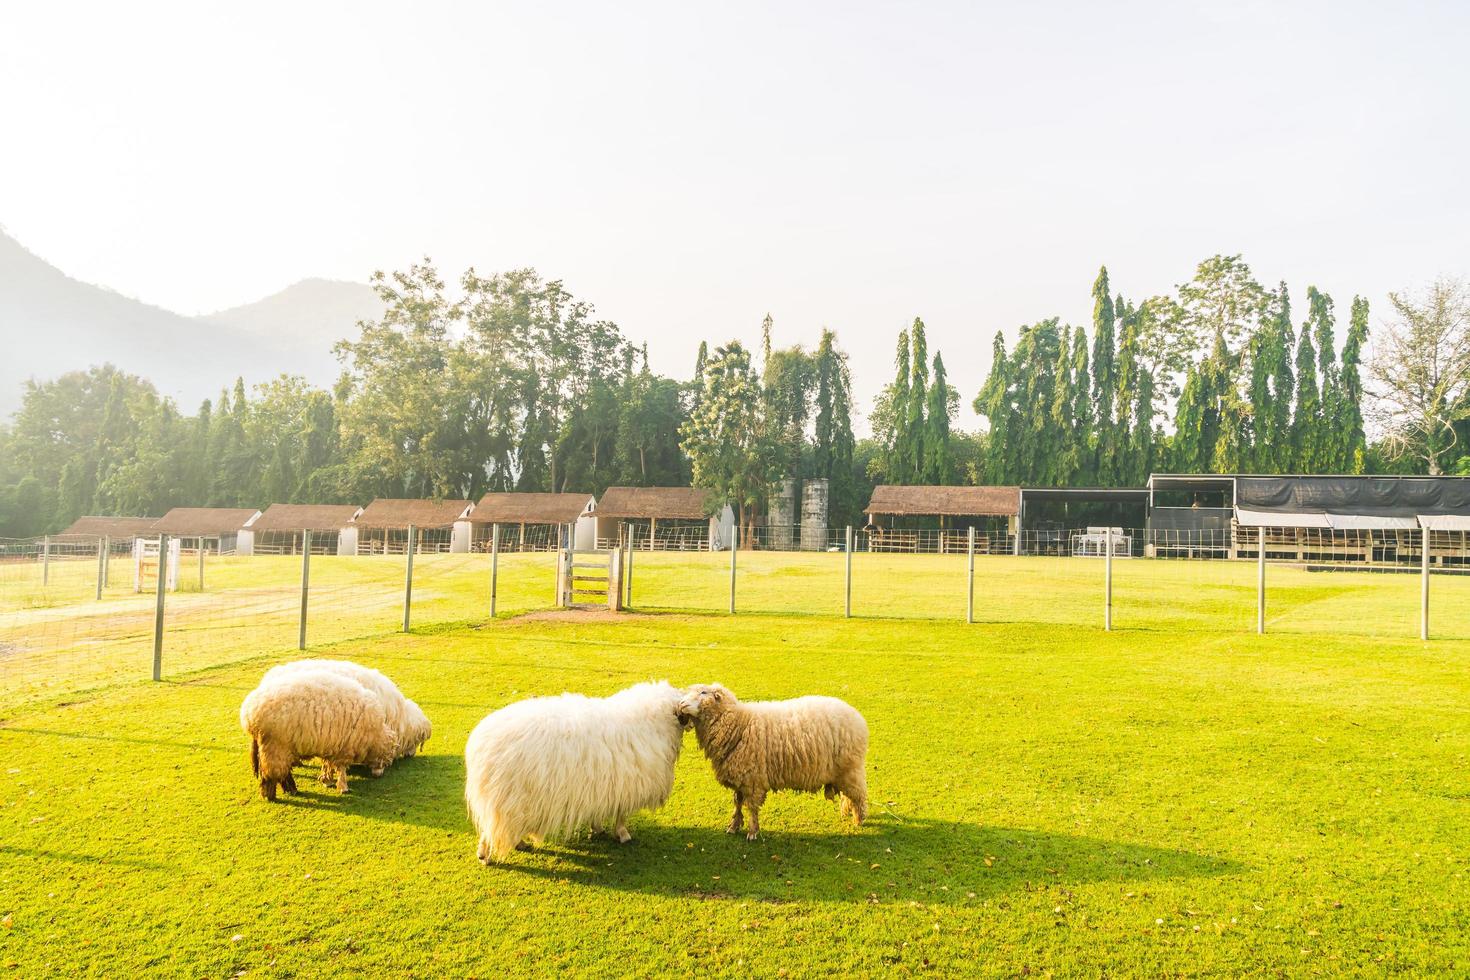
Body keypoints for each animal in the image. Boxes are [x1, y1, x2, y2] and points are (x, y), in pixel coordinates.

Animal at [242, 667, 399, 805]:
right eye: (385, 759)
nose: (379, 775)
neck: (374, 734)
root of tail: (249, 716)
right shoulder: (344, 749)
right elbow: (341, 769)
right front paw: (343, 787)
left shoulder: (332, 746)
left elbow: (328, 765)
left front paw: (326, 780)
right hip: (275, 747)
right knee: (271, 775)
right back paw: (273, 794)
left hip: (278, 749)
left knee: (281, 773)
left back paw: (290, 790)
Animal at [461, 681, 685, 863]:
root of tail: (477, 745)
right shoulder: (626, 786)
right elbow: (622, 815)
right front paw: (623, 835)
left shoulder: (604, 787)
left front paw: (598, 828)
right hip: (508, 801)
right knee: (490, 830)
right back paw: (487, 854)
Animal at [679, 687, 870, 840]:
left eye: (703, 692)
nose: (681, 704)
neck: (739, 724)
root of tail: (858, 717)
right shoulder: (740, 777)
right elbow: (738, 803)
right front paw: (734, 826)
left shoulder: (752, 779)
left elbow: (751, 807)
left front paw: (753, 832)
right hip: (842, 772)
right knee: (848, 795)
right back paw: (847, 811)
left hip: (851, 768)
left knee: (859, 796)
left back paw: (858, 819)